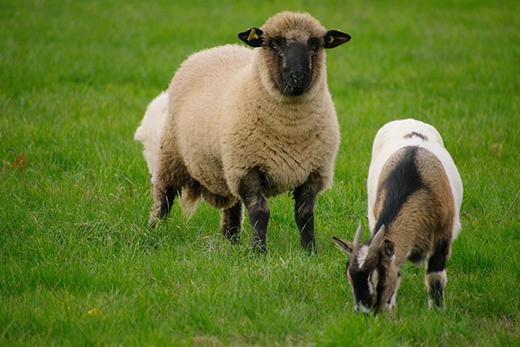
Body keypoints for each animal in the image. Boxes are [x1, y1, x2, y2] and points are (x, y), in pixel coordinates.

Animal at [136, 11, 352, 253]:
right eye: (274, 44)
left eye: (315, 44)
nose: (298, 76)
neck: (290, 130)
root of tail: (214, 49)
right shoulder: (248, 167)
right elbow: (260, 212)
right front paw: (259, 252)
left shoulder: (314, 171)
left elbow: (305, 215)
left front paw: (310, 252)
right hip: (172, 155)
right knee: (164, 196)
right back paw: (156, 231)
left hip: (227, 165)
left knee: (233, 206)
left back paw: (231, 240)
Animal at [334, 119, 464, 316]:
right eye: (350, 278)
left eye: (379, 280)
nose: (364, 312)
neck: (412, 184)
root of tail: (408, 120)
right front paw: (390, 307)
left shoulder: (443, 237)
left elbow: (435, 277)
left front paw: (437, 310)